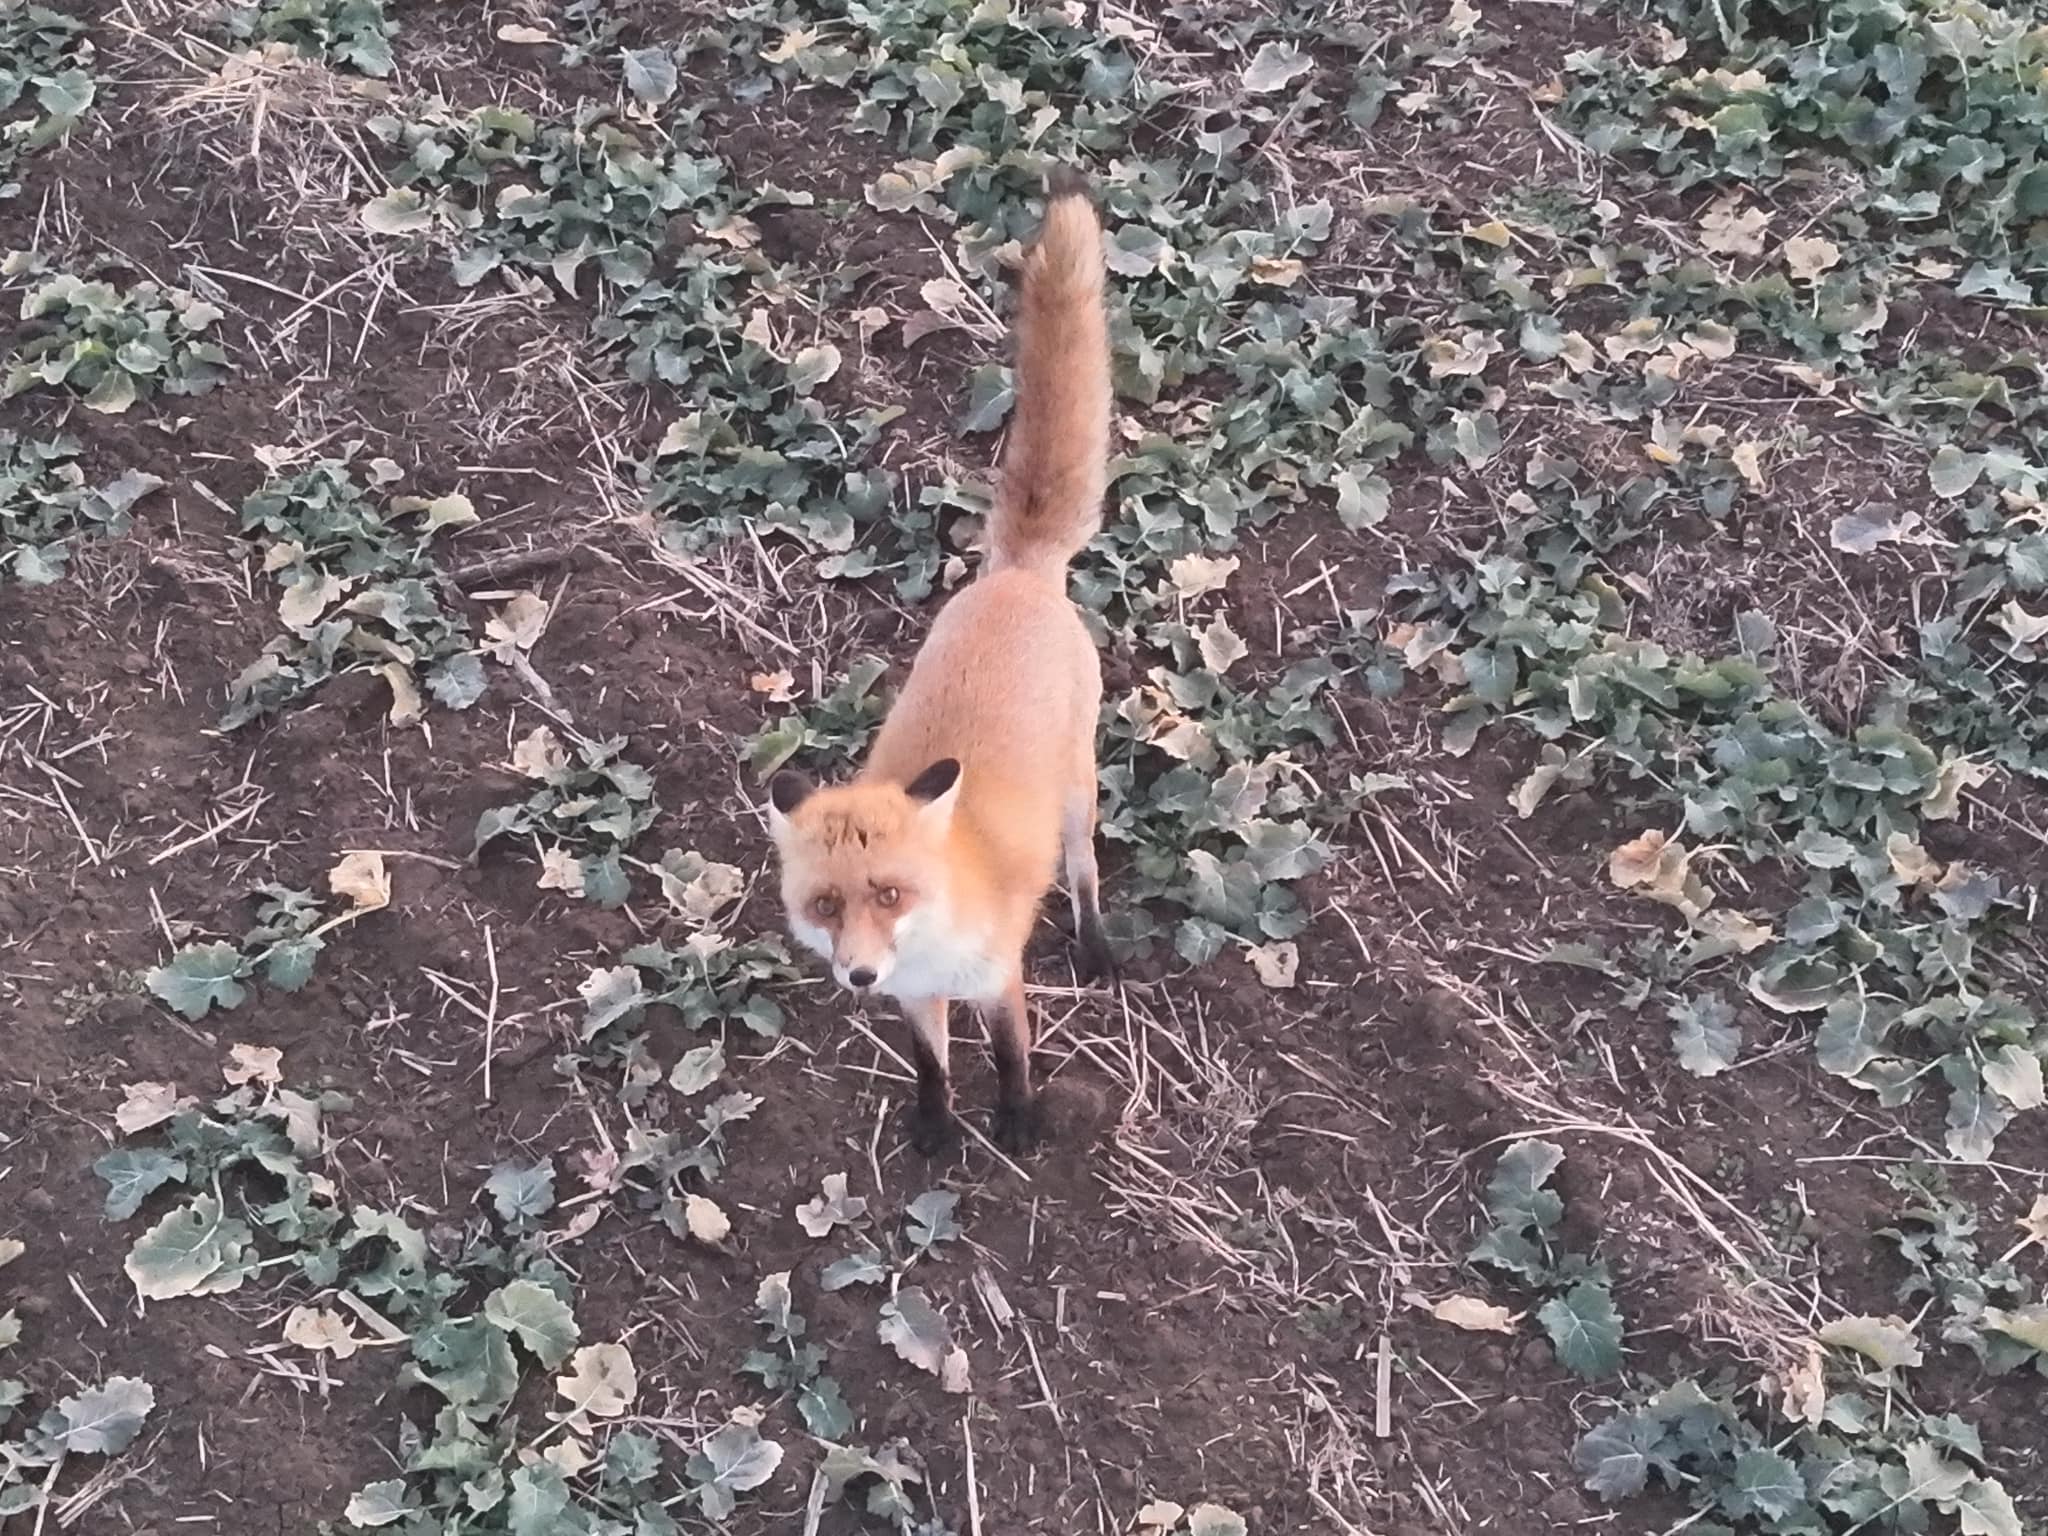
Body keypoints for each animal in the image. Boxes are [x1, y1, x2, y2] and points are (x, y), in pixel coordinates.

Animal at [770, 171, 1122, 1155]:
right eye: (826, 905)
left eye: (889, 893)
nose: (855, 976)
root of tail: (1019, 575)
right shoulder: (915, 998)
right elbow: (931, 1063)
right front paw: (933, 1128)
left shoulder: (996, 979)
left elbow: (1009, 1059)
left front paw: (1020, 1124)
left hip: (1078, 793)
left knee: (1085, 867)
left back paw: (1095, 945)